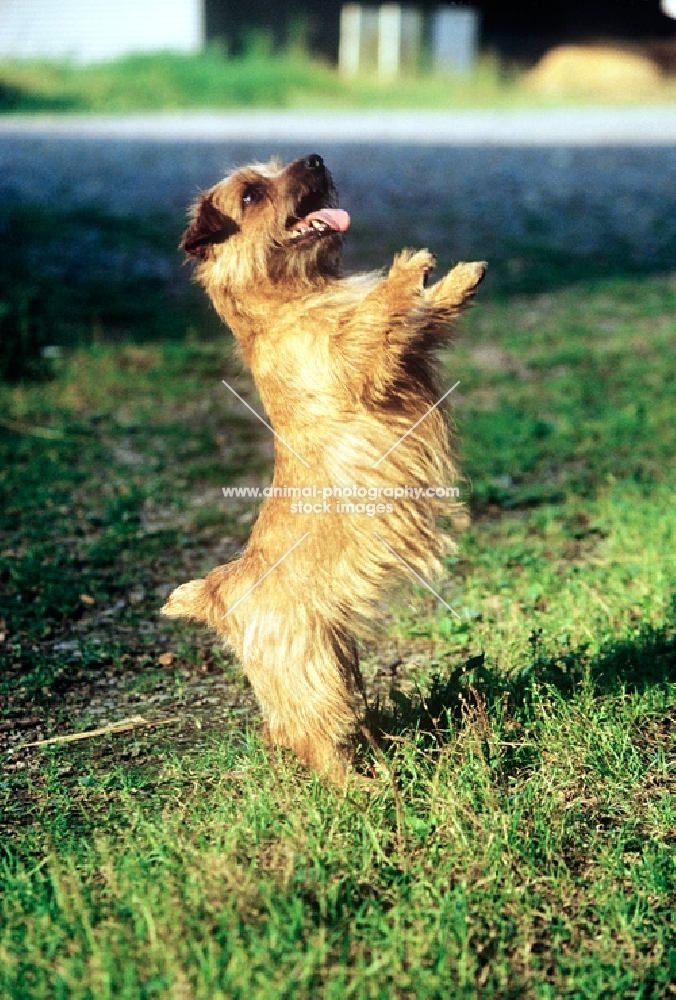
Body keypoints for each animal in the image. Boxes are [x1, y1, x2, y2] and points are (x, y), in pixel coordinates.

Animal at [161, 152, 484, 784]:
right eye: (251, 194)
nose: (315, 158)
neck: (296, 297)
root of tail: (217, 591)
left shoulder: (406, 351)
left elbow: (424, 316)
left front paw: (463, 275)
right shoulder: (355, 363)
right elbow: (379, 315)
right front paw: (408, 268)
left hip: (335, 658)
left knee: (287, 730)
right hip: (312, 670)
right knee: (310, 736)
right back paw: (362, 788)